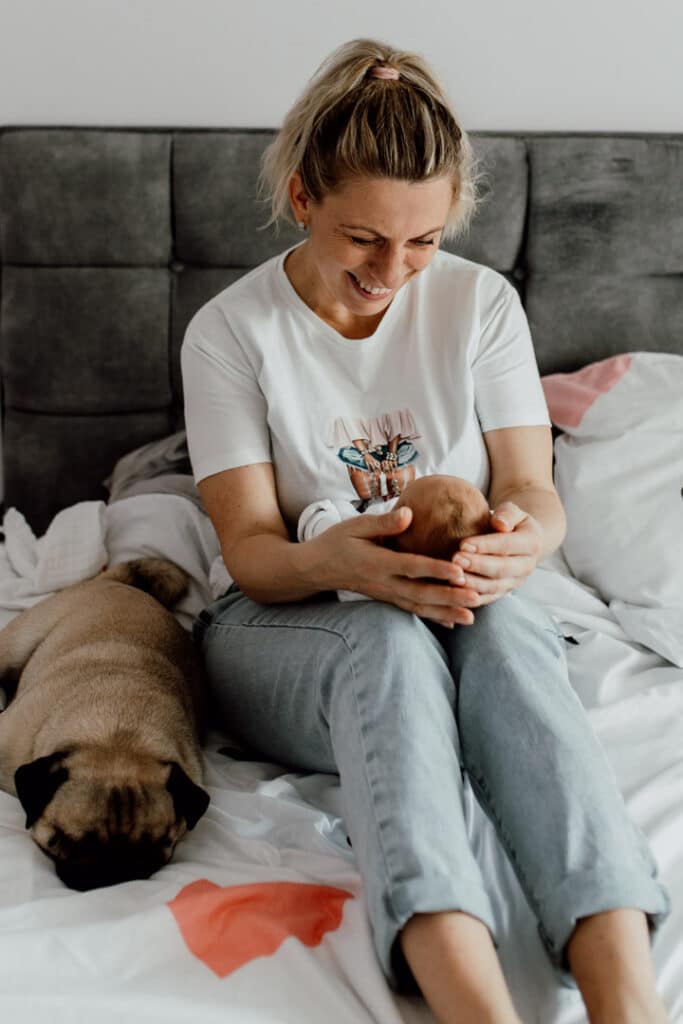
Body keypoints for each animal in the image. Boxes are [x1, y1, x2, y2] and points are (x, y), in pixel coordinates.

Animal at [0, 561, 209, 888]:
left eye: (161, 843)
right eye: (69, 841)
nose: (117, 869)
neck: (118, 734)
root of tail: (117, 582)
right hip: (15, 644)